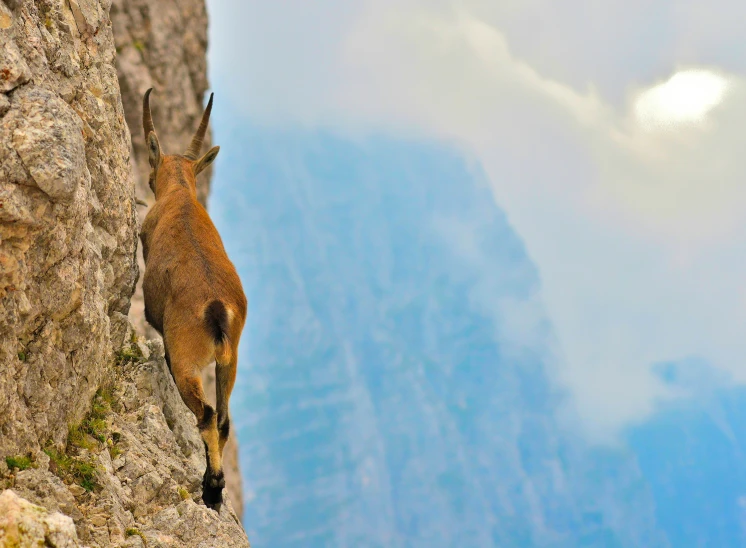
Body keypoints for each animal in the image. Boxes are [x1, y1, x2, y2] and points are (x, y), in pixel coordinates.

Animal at [137, 88, 247, 512]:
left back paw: (212, 488)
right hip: (230, 360)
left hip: (186, 357)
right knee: (225, 418)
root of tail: (216, 308)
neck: (181, 194)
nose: (149, 180)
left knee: (207, 414)